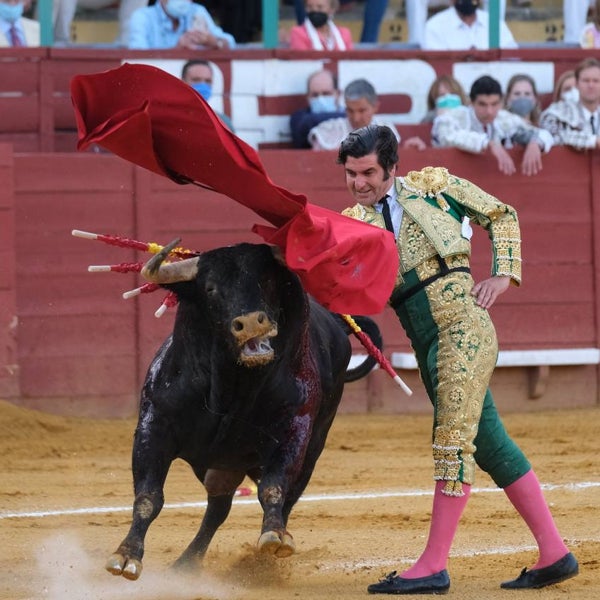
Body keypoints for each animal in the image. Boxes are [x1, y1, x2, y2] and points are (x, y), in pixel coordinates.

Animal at [105, 241, 382, 580]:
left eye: (266, 280)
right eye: (210, 288)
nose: (251, 322)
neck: (231, 387)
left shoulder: (294, 430)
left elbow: (273, 488)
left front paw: (274, 537)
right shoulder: (153, 427)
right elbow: (148, 497)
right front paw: (126, 555)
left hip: (312, 449)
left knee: (283, 498)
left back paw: (260, 560)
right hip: (221, 466)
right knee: (218, 507)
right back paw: (187, 564)